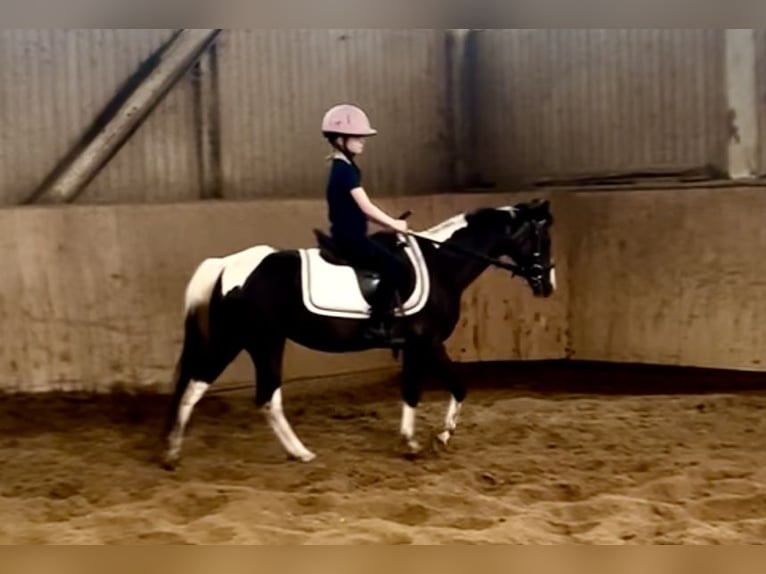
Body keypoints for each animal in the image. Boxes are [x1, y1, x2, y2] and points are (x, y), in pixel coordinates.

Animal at [162, 198, 556, 468]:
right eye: (543, 238)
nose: (547, 284)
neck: (441, 263)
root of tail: (229, 265)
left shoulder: (415, 346)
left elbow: (415, 391)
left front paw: (417, 439)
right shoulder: (426, 342)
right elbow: (452, 387)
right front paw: (434, 438)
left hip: (242, 341)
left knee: (205, 388)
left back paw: (173, 452)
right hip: (259, 341)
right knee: (256, 395)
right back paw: (299, 452)